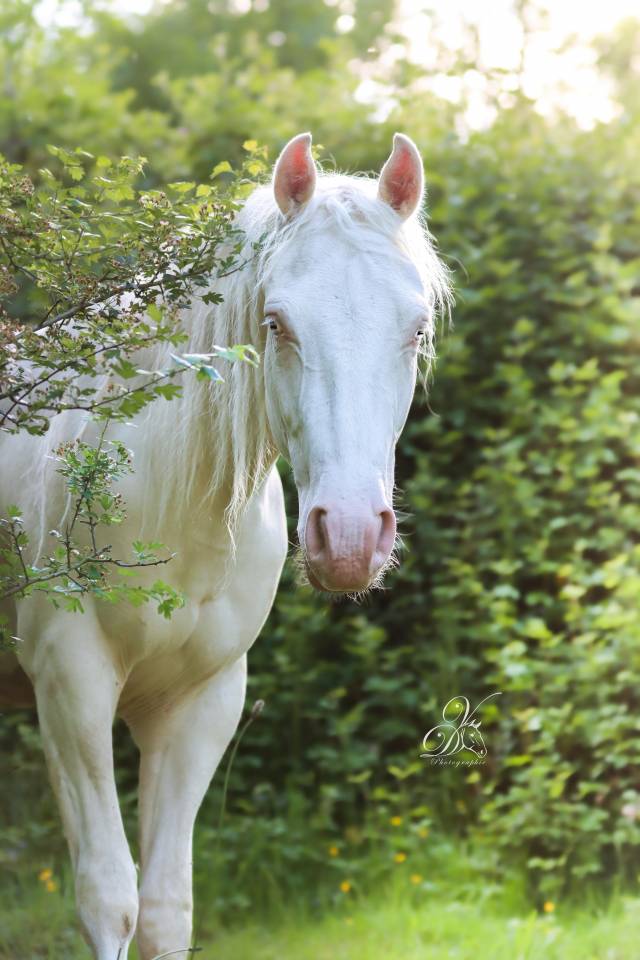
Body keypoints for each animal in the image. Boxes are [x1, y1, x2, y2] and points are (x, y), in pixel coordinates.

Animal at [0, 132, 449, 959]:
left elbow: (165, 908)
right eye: (276, 323)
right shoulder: (71, 687)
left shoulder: (201, 705)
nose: (348, 539)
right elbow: (110, 900)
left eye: (416, 330)